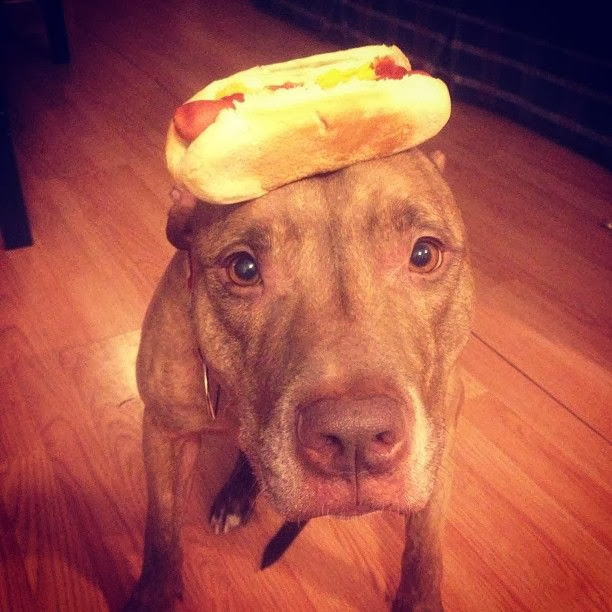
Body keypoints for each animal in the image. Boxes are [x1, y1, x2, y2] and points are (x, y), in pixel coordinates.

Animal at [125, 149, 474, 612]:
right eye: (243, 268)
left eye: (423, 255)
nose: (355, 436)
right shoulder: (165, 431)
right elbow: (162, 530)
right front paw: (153, 594)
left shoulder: (440, 445)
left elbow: (424, 550)